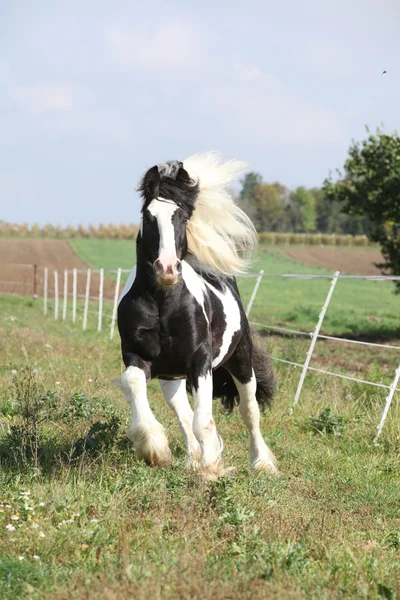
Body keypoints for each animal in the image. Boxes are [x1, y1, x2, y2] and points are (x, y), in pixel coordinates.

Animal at [115, 154, 278, 478]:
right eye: (148, 217)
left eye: (182, 217)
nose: (166, 269)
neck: (162, 304)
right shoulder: (136, 356)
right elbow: (134, 384)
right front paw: (155, 449)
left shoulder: (199, 360)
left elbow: (204, 420)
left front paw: (211, 468)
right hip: (171, 377)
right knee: (182, 412)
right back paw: (191, 459)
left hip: (241, 360)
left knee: (249, 411)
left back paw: (261, 463)